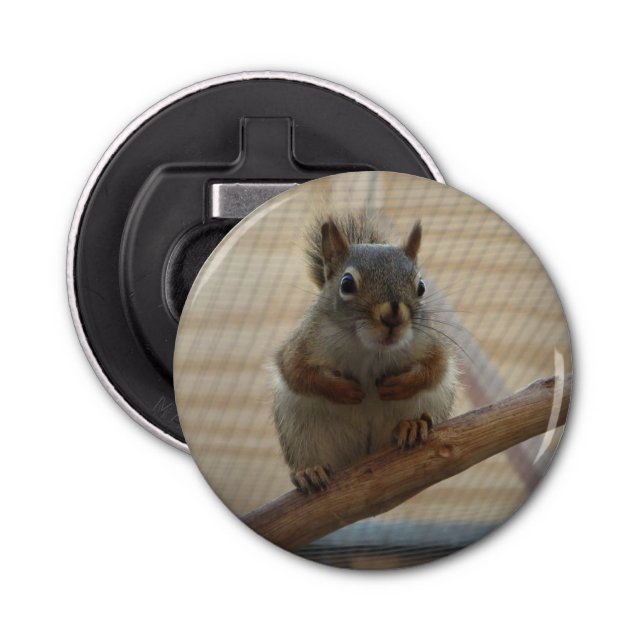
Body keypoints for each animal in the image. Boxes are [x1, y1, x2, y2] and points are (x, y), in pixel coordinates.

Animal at [272, 211, 457, 493]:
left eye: (421, 287)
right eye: (347, 283)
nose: (393, 315)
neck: (370, 348)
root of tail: (365, 455)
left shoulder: (429, 342)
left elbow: (436, 367)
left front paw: (401, 385)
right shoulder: (303, 344)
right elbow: (297, 372)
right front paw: (343, 390)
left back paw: (412, 425)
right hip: (300, 429)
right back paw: (309, 471)